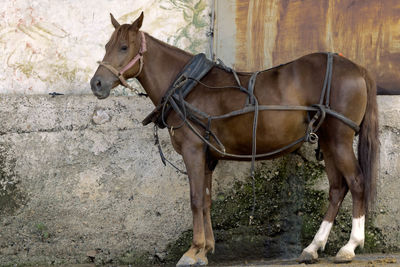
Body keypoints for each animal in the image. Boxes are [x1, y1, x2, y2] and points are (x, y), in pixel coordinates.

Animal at [90, 13, 378, 267]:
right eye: (106, 46)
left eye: (124, 47)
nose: (97, 84)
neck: (186, 86)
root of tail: (357, 68)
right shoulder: (207, 156)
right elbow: (206, 201)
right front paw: (204, 250)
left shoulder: (193, 151)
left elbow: (195, 199)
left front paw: (192, 250)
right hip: (328, 142)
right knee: (337, 189)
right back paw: (313, 247)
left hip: (340, 139)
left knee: (357, 182)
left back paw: (350, 246)